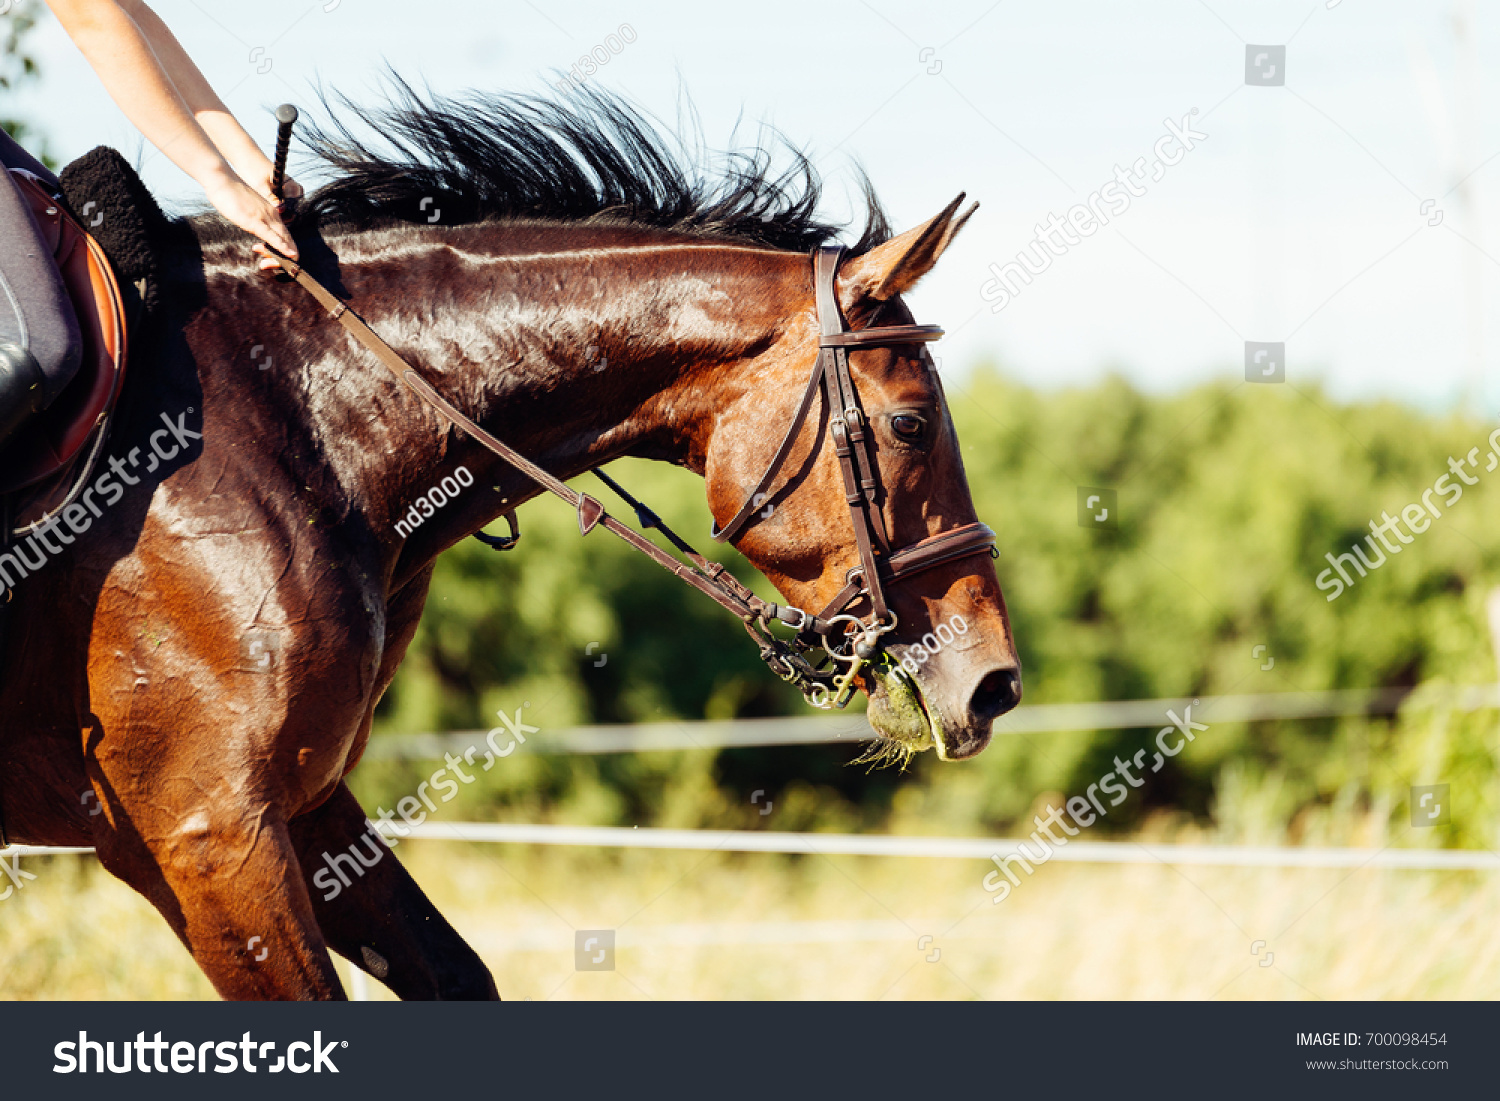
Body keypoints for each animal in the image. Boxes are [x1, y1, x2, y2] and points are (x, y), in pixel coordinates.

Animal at [0, 84, 1021, 999]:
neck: (302, 418)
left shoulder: (304, 808)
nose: (996, 684)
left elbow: (459, 974)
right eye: (910, 425)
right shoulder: (206, 836)